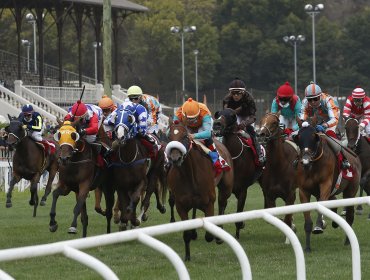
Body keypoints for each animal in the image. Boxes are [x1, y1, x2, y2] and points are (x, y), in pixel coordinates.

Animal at [166, 120, 233, 260]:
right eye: (169, 137)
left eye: (185, 136)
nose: (175, 158)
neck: (189, 175)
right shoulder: (181, 205)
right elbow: (186, 233)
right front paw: (187, 256)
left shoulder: (209, 203)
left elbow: (209, 236)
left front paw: (214, 235)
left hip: (226, 187)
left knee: (222, 204)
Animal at [212, 108, 262, 240]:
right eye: (218, 114)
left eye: (231, 115)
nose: (217, 124)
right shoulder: (224, 189)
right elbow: (221, 207)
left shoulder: (243, 190)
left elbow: (239, 215)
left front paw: (239, 230)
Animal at [292, 122, 362, 252]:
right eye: (299, 139)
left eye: (313, 138)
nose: (305, 161)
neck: (312, 166)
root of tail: (355, 157)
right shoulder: (304, 191)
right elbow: (307, 221)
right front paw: (307, 247)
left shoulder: (325, 185)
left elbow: (321, 205)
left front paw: (318, 226)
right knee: (334, 202)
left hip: (350, 191)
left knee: (350, 215)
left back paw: (347, 241)